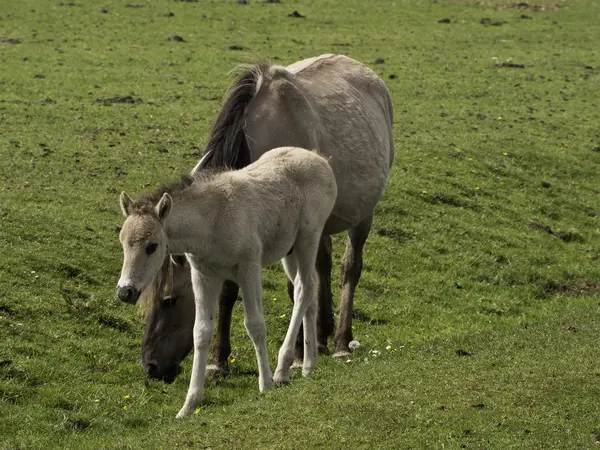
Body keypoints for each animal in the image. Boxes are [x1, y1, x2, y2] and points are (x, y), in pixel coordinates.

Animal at [116, 148, 338, 418]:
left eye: (152, 246)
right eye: (122, 242)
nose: (125, 291)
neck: (212, 220)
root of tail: (320, 159)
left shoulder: (248, 267)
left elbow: (255, 325)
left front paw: (265, 385)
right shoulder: (203, 275)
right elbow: (200, 332)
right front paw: (189, 404)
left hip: (308, 238)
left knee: (305, 289)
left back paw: (282, 370)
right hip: (290, 250)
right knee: (308, 290)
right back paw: (308, 365)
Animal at [138, 54, 396, 382]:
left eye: (168, 300)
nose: (150, 365)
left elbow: (293, 287)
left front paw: (295, 355)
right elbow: (231, 293)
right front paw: (218, 361)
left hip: (363, 216)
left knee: (349, 269)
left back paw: (340, 342)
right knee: (322, 267)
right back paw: (320, 338)